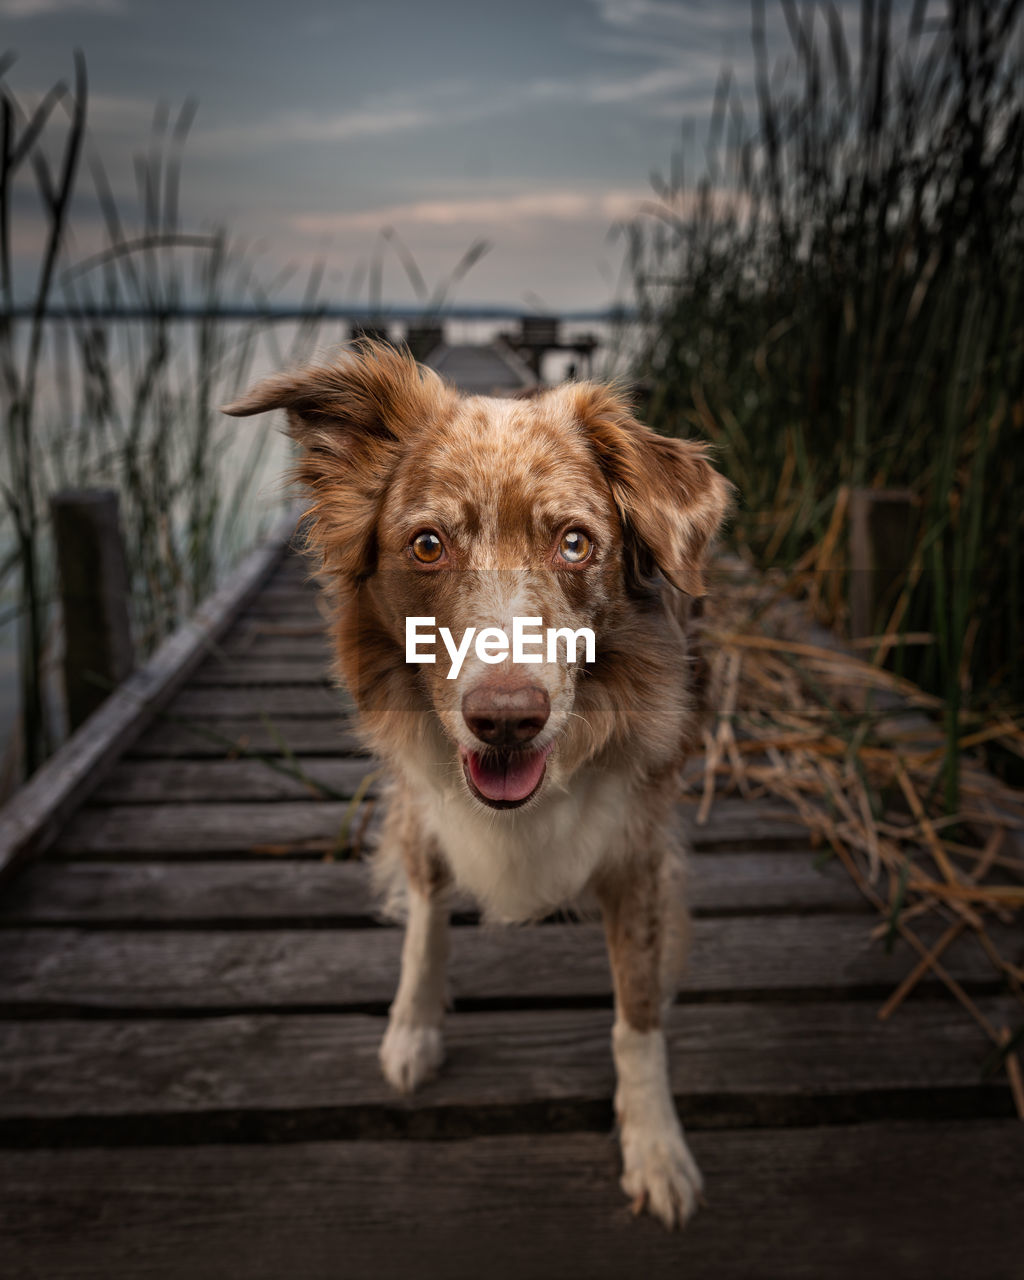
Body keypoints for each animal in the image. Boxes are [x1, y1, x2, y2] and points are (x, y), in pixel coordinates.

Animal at [225, 343, 737, 1228]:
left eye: (576, 543)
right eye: (428, 545)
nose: (506, 721)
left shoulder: (639, 850)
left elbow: (636, 1016)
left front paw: (655, 1146)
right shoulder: (420, 800)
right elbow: (426, 916)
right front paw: (413, 1027)